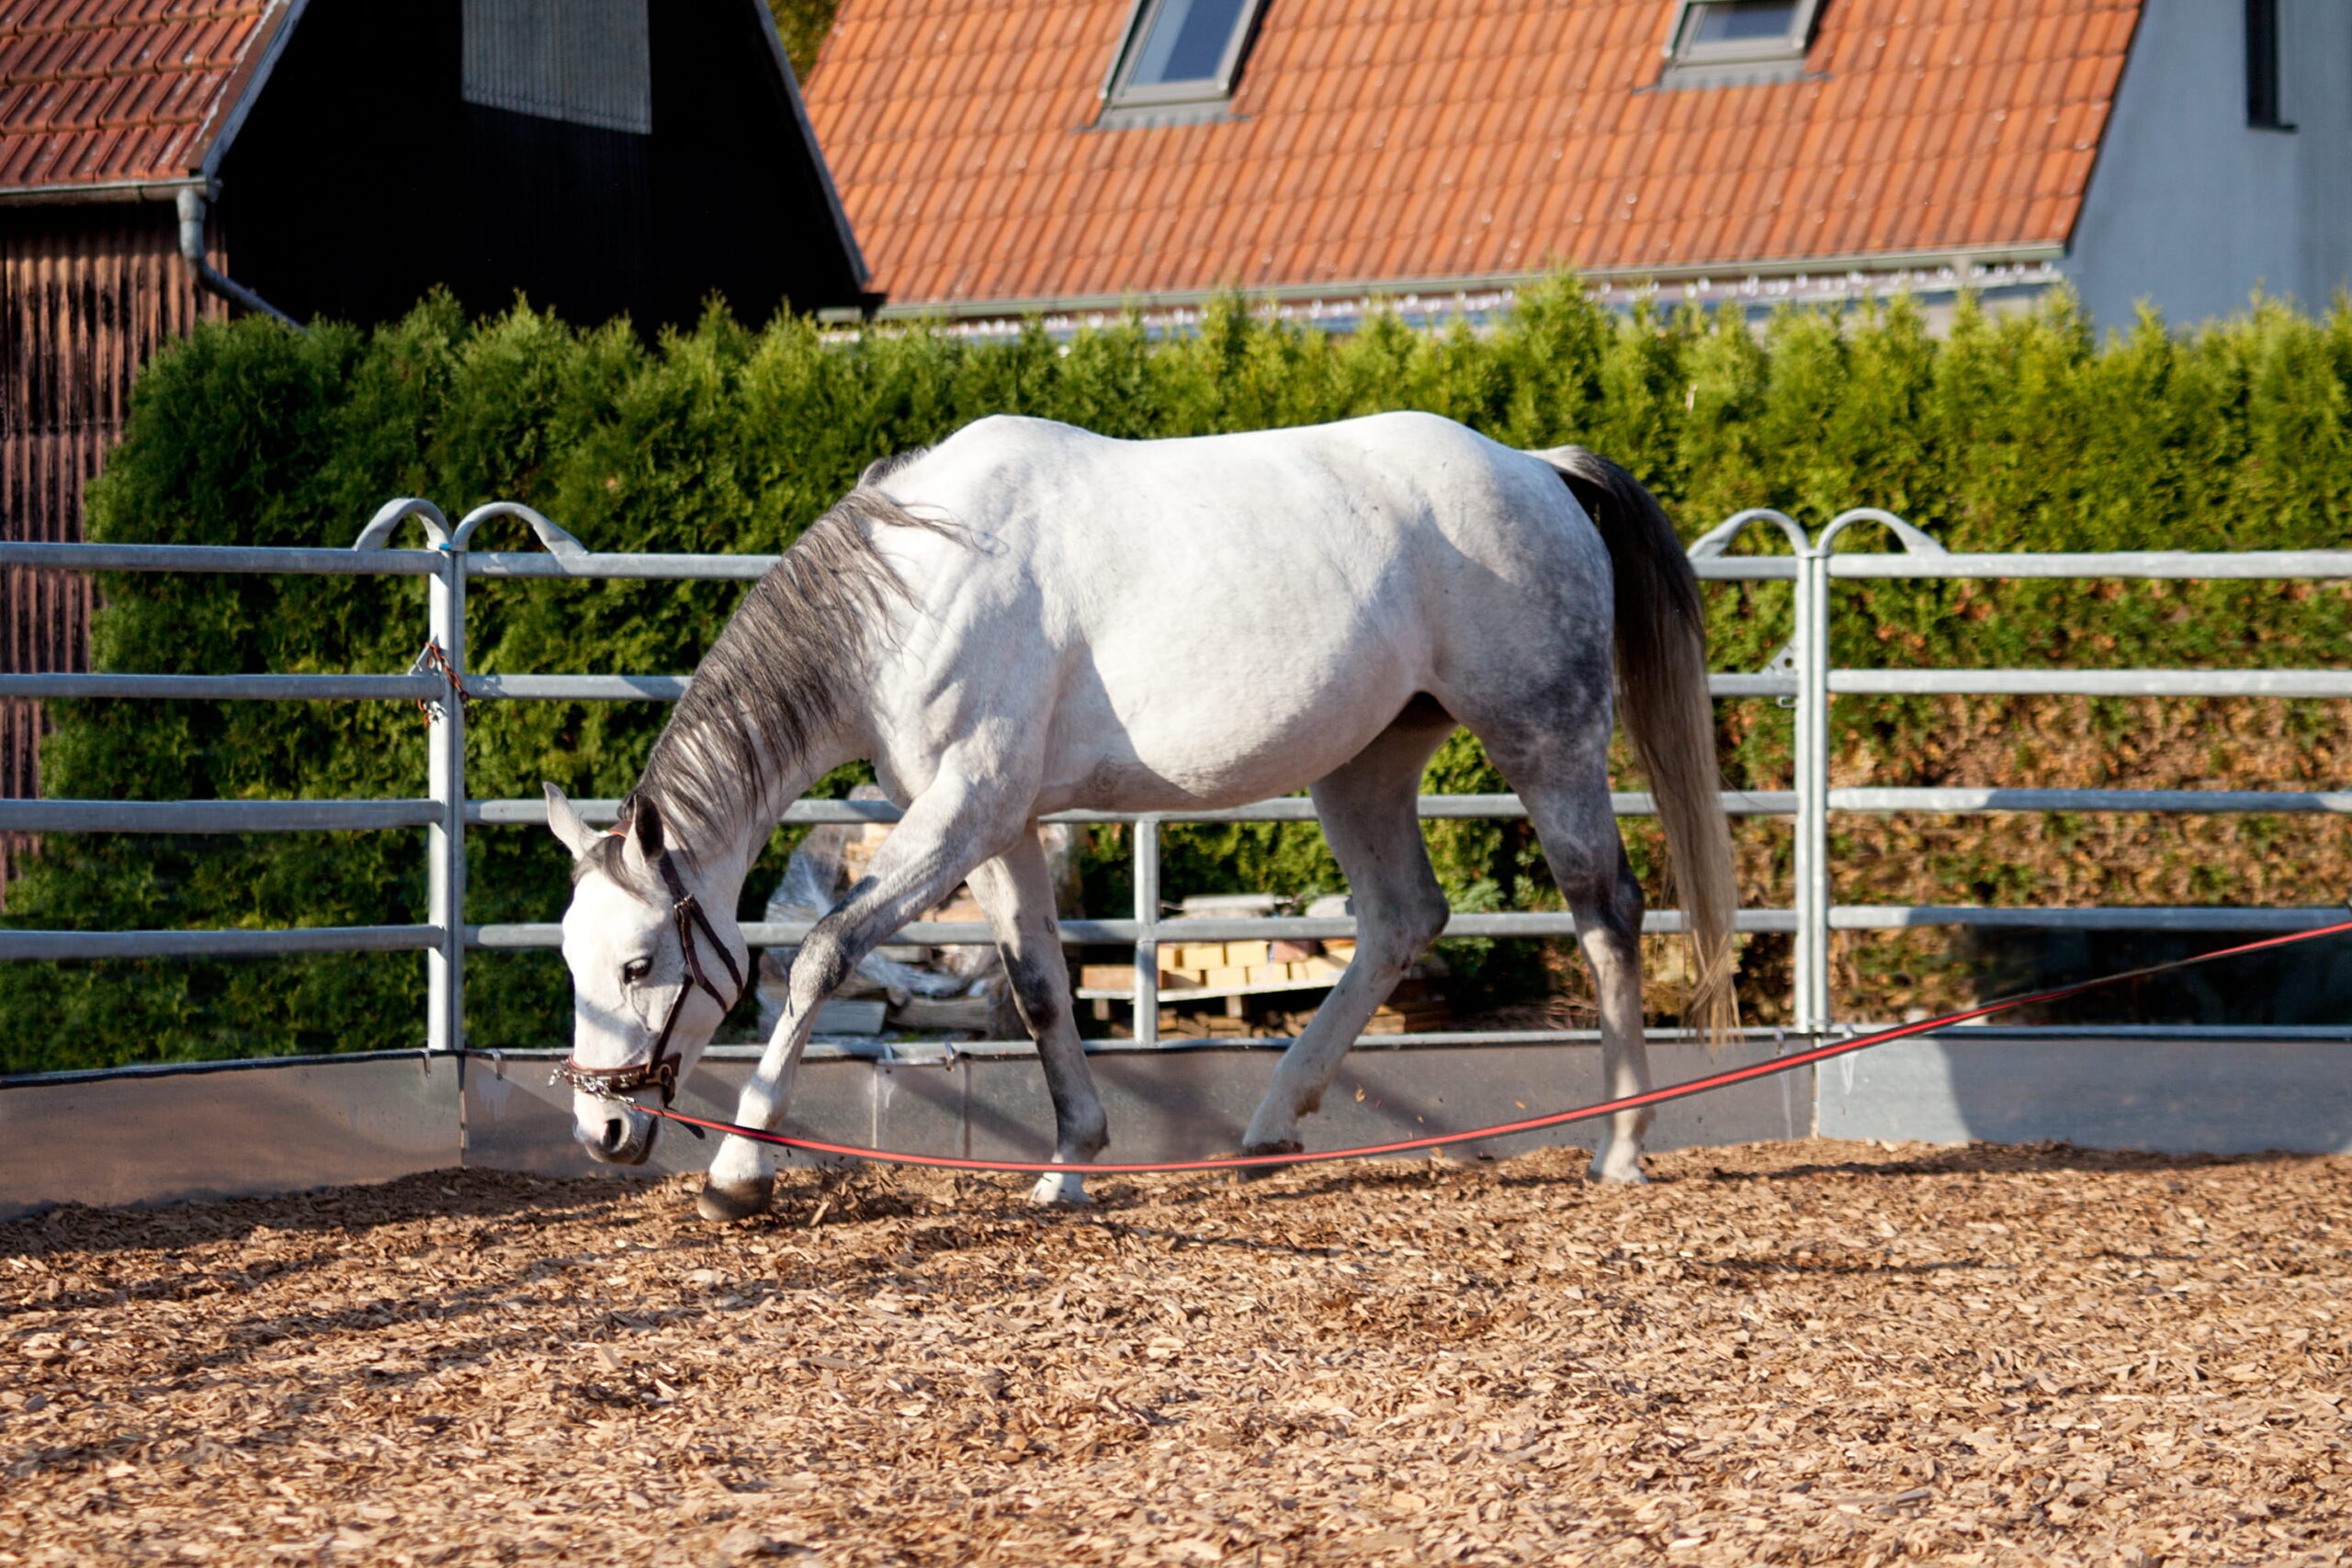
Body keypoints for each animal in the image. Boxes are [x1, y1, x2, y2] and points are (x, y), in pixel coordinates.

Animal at [544, 410, 1738, 1220]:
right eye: (570, 961)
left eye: (641, 964)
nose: (601, 1127)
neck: (913, 589)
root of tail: (1540, 471)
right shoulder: (997, 825)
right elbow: (1037, 985)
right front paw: (1070, 1165)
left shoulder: (963, 810)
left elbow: (824, 956)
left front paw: (738, 1174)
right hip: (1365, 764)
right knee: (1403, 919)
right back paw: (1266, 1131)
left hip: (1544, 737)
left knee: (1605, 908)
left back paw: (1621, 1146)